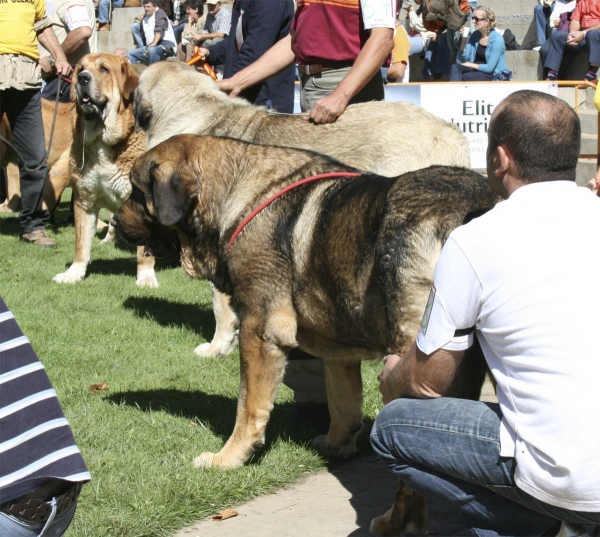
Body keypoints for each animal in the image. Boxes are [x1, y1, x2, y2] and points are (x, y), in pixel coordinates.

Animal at [52, 54, 158, 286]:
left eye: (104, 69)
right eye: (81, 68)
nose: (83, 78)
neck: (101, 141)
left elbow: (143, 251)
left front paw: (146, 277)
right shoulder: (84, 201)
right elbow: (81, 243)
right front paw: (74, 273)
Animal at [115, 133, 500, 532]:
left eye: (136, 193)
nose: (113, 221)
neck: (236, 191)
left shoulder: (259, 330)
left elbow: (248, 407)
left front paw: (229, 457)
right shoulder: (337, 343)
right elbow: (342, 400)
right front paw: (337, 445)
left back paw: (398, 521)